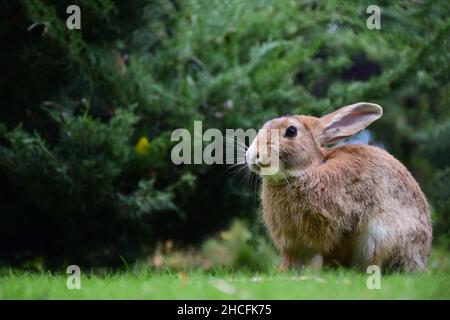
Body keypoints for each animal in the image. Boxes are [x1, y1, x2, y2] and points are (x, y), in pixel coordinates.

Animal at [246, 103, 432, 272]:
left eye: (291, 131)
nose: (253, 156)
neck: (308, 170)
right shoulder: (292, 245)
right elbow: (290, 260)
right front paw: (284, 273)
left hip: (381, 236)